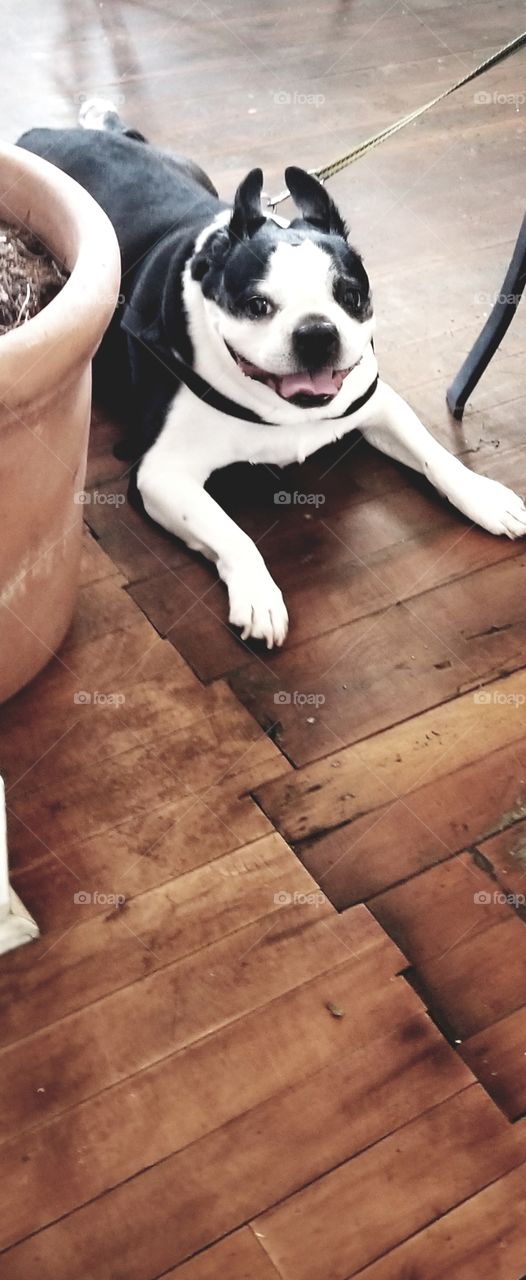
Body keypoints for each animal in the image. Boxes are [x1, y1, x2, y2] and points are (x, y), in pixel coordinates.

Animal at [18, 102, 526, 650]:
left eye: (351, 297)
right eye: (257, 306)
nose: (317, 332)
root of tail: (43, 132)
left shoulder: (377, 402)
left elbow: (435, 456)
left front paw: (483, 495)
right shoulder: (162, 473)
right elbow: (230, 531)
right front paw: (259, 596)